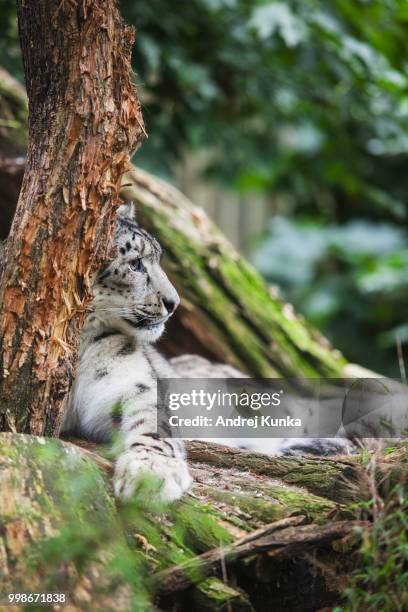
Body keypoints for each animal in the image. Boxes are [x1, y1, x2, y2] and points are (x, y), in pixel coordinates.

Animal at [61, 203, 192, 500]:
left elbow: (154, 421)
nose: (174, 303)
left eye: (159, 258)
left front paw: (152, 472)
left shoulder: (133, 383)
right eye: (135, 264)